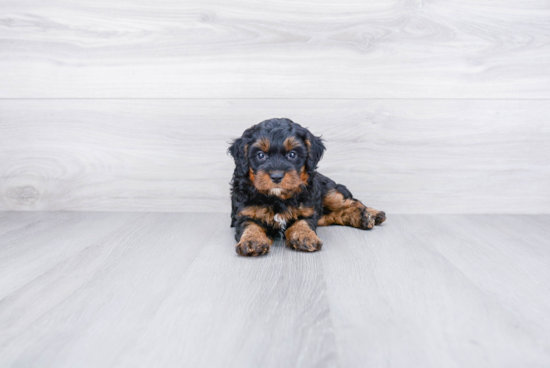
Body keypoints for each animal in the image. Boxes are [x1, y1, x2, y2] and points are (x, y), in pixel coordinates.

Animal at [230, 118, 388, 256]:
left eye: (292, 154)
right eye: (260, 155)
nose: (276, 176)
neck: (277, 198)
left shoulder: (307, 208)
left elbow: (302, 222)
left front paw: (305, 236)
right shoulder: (244, 212)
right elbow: (250, 226)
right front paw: (252, 241)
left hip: (328, 192)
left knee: (350, 202)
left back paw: (371, 214)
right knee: (333, 215)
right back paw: (362, 217)